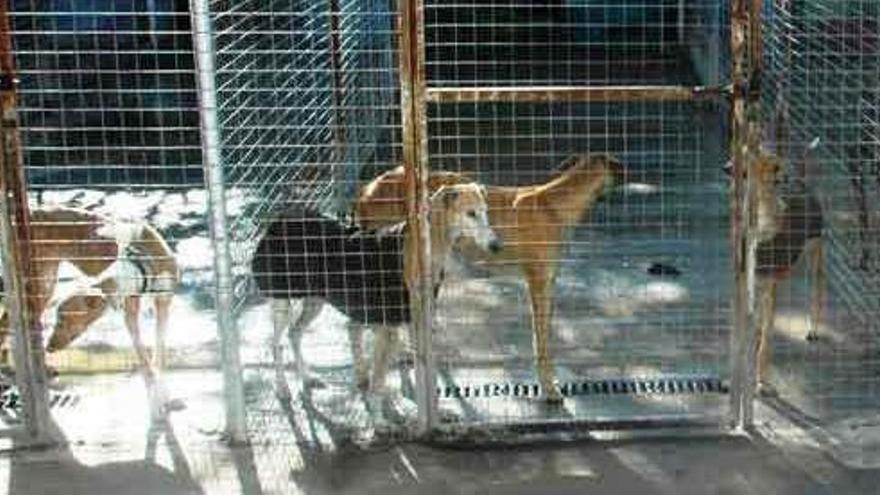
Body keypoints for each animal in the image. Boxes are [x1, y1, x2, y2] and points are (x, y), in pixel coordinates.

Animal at [0, 207, 179, 416]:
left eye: (65, 320)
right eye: (60, 318)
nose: (50, 347)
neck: (142, 261)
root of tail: (32, 212)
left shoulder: (163, 306)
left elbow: (159, 353)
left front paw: (162, 390)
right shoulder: (130, 315)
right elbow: (143, 358)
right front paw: (155, 397)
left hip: (43, 285)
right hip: (38, 286)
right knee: (8, 323)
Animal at [253, 183, 502, 414]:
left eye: (485, 211)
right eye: (470, 213)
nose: (496, 246)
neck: (422, 249)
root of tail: (280, 218)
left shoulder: (411, 323)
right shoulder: (388, 329)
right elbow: (379, 380)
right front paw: (379, 417)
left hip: (315, 300)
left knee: (294, 333)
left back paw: (306, 378)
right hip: (282, 300)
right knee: (275, 343)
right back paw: (283, 388)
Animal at [354, 154, 624, 404]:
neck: (553, 205)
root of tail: (367, 189)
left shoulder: (549, 282)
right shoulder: (538, 282)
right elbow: (541, 340)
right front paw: (548, 387)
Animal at [720, 140, 824, 396]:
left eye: (750, 158)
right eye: (738, 152)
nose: (725, 167)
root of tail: (802, 184)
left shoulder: (767, 288)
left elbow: (765, 343)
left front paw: (761, 382)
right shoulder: (743, 288)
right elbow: (740, 336)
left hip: (815, 257)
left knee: (816, 293)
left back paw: (813, 328)